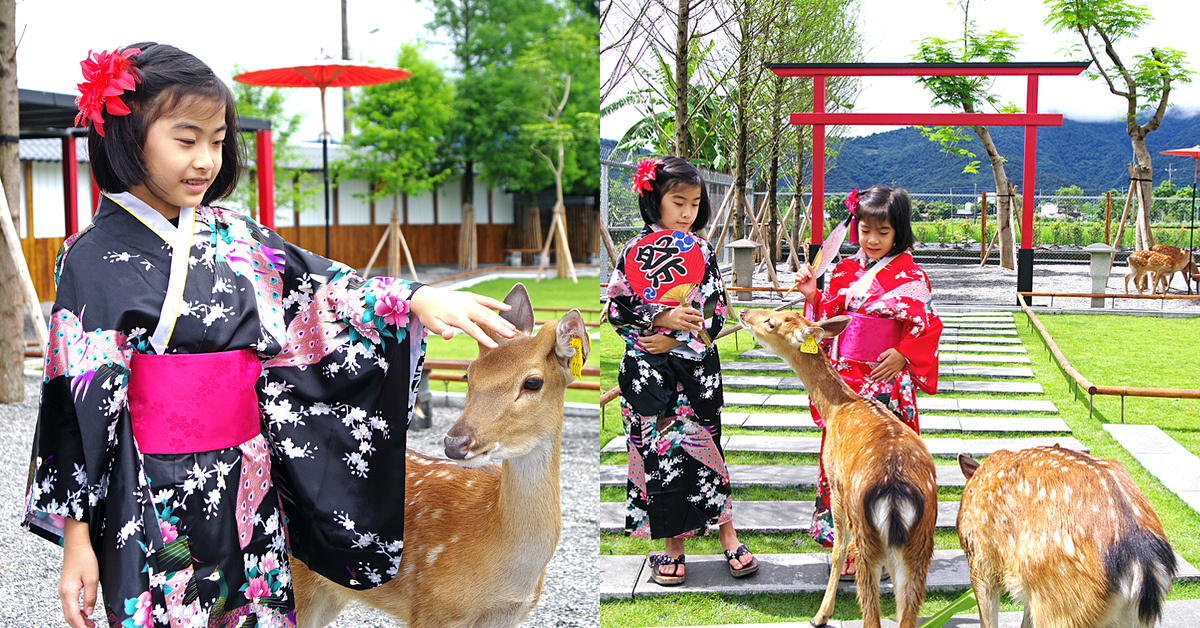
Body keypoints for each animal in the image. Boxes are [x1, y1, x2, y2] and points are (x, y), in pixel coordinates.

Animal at [734, 309, 940, 628]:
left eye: (771, 322)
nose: (743, 312)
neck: (836, 408)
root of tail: (896, 492)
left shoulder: (837, 484)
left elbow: (838, 549)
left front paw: (820, 615)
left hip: (868, 530)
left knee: (870, 611)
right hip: (922, 539)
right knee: (908, 607)